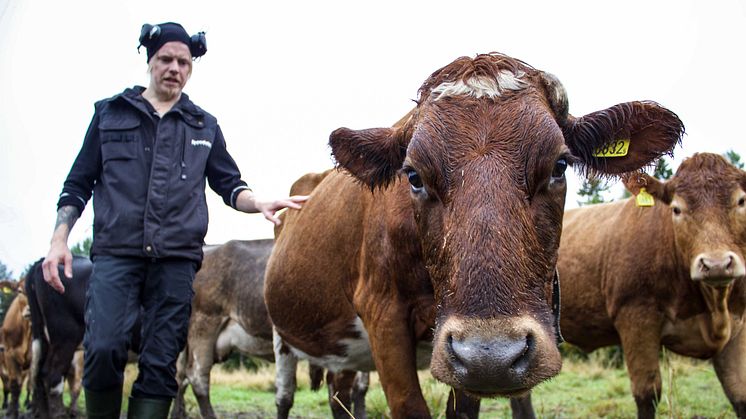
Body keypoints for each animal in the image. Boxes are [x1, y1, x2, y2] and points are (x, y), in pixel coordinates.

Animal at [264, 50, 684, 418]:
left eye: (560, 165)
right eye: (413, 176)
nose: (491, 357)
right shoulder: (383, 314)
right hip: (283, 340)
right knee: (287, 396)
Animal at [516, 153, 744, 419]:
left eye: (741, 201)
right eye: (677, 209)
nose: (716, 264)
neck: (712, 307)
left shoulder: (737, 326)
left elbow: (739, 393)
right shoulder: (635, 317)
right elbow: (647, 393)